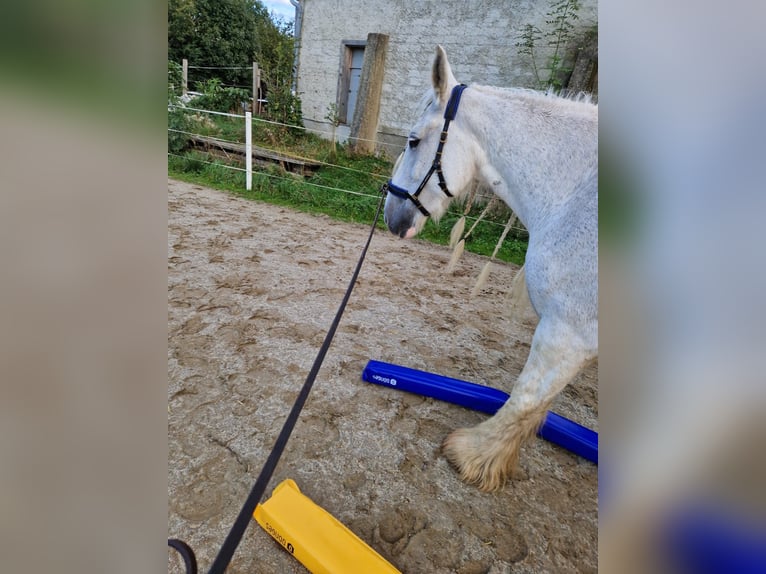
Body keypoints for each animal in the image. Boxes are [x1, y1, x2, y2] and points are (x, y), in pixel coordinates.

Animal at [383, 46, 598, 492]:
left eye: (413, 141)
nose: (391, 213)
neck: (578, 192)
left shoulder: (569, 331)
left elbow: (526, 399)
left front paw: (475, 457)